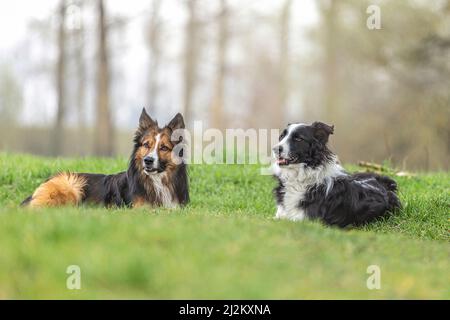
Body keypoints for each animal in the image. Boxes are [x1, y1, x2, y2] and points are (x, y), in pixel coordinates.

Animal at [270, 122, 400, 228]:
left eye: (298, 139)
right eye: (281, 136)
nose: (275, 149)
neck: (299, 177)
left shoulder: (307, 221)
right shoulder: (279, 216)